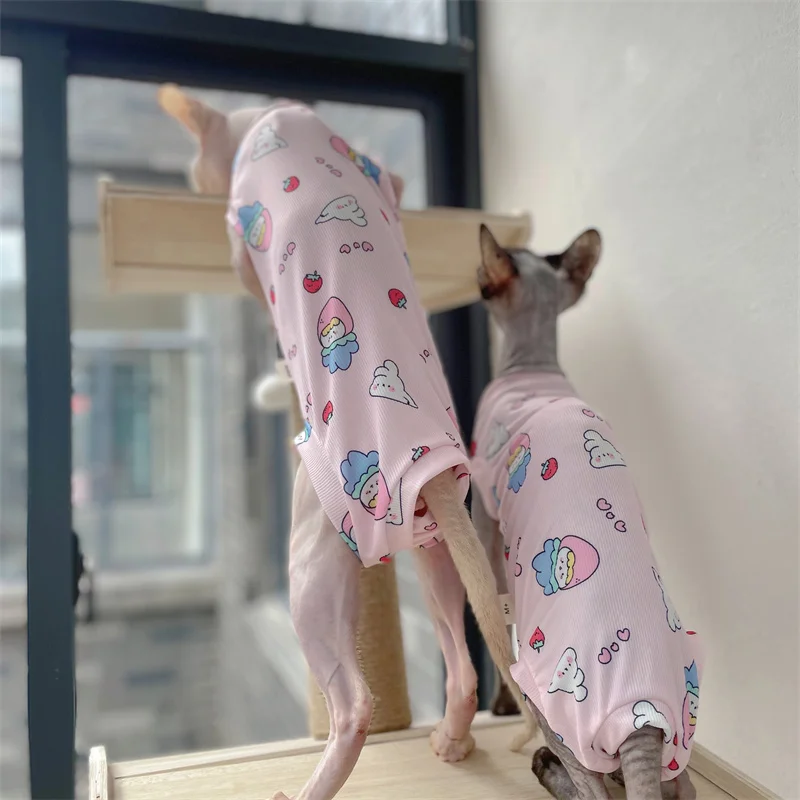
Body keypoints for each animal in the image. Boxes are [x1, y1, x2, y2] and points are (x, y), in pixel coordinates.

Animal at [159, 86, 535, 800]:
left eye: (195, 168)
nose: (191, 178)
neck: (270, 115)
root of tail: (428, 465)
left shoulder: (238, 233)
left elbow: (243, 270)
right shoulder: (387, 176)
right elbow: (397, 185)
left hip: (316, 551)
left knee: (355, 704)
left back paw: (307, 786)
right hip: (434, 548)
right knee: (462, 666)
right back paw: (452, 738)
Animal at [470, 224, 702, 800]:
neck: (533, 366)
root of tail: (643, 720)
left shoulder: (483, 510)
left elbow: (492, 612)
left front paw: (498, 706)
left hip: (554, 703)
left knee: (588, 788)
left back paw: (547, 769)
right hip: (679, 740)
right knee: (680, 790)